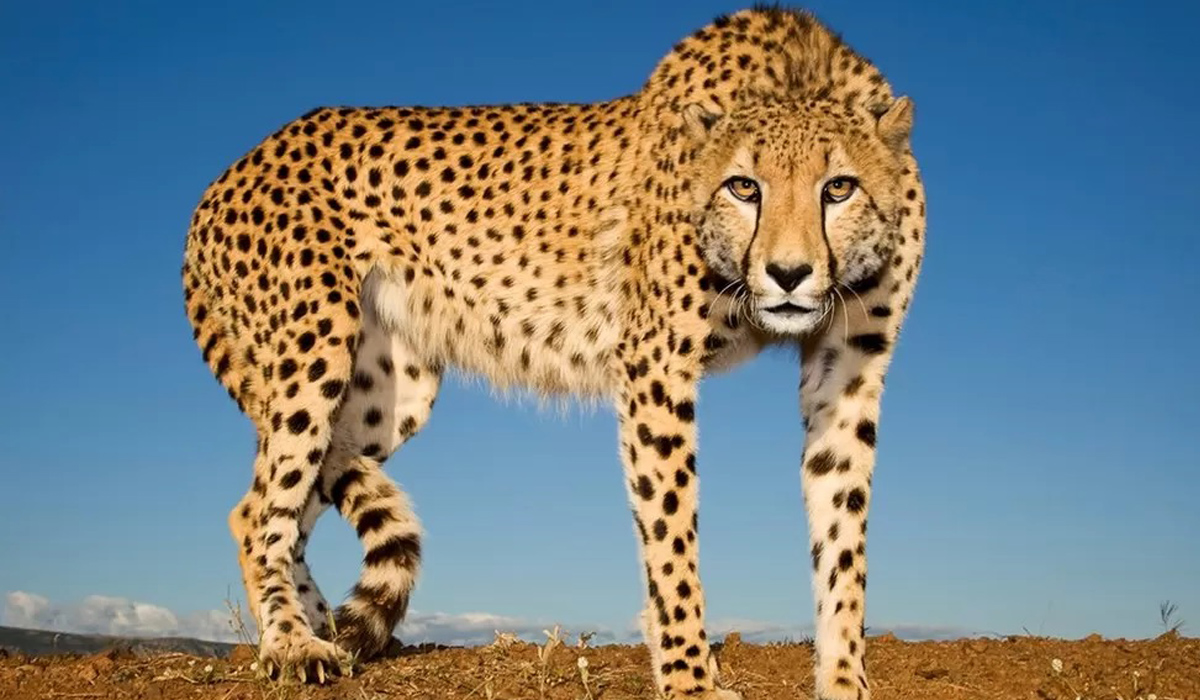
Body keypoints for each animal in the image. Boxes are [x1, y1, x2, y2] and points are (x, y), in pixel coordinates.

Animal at [181, 6, 926, 699]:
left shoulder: (850, 367)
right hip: (315, 349)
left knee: (276, 501)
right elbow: (672, 535)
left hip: (387, 391)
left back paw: (323, 630)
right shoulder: (655, 366)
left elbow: (843, 532)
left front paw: (844, 679)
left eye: (839, 187)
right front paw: (688, 678)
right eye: (744, 186)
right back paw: (290, 644)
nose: (789, 275)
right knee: (262, 512)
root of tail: (230, 172)